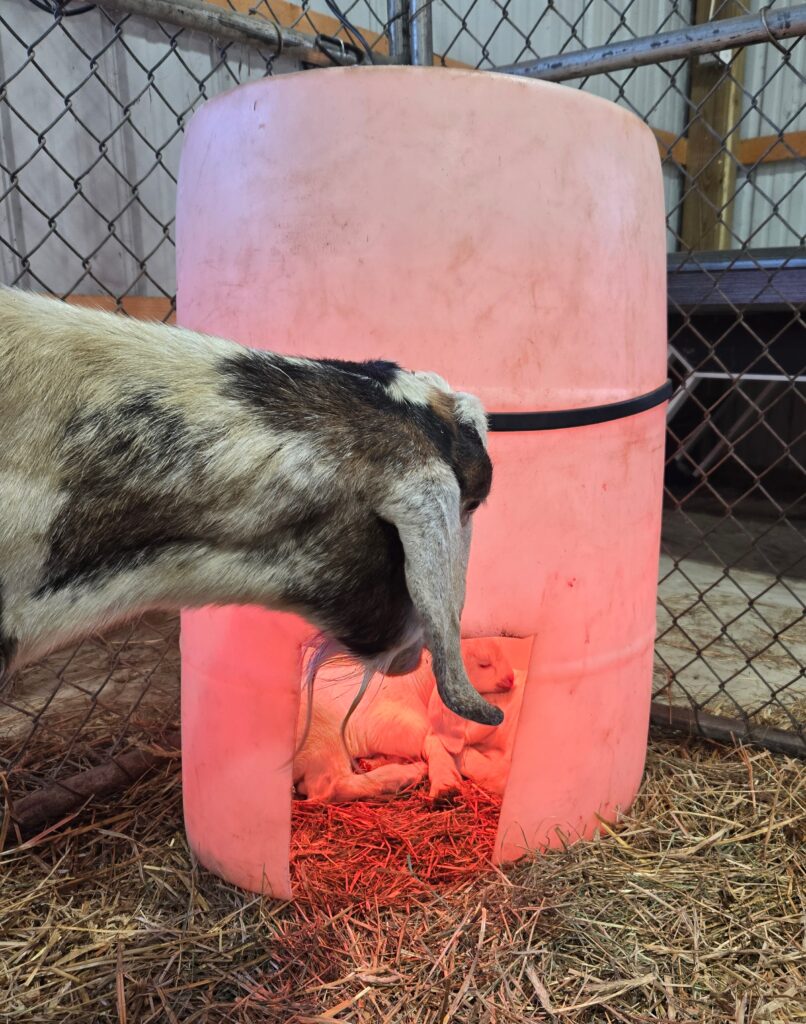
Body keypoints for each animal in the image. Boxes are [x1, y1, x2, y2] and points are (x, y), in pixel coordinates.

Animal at [294, 638, 521, 803]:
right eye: (484, 664)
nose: (511, 678)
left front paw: (375, 761)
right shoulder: (393, 723)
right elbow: (430, 738)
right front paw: (446, 784)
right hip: (323, 732)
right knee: (333, 786)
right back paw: (410, 773)